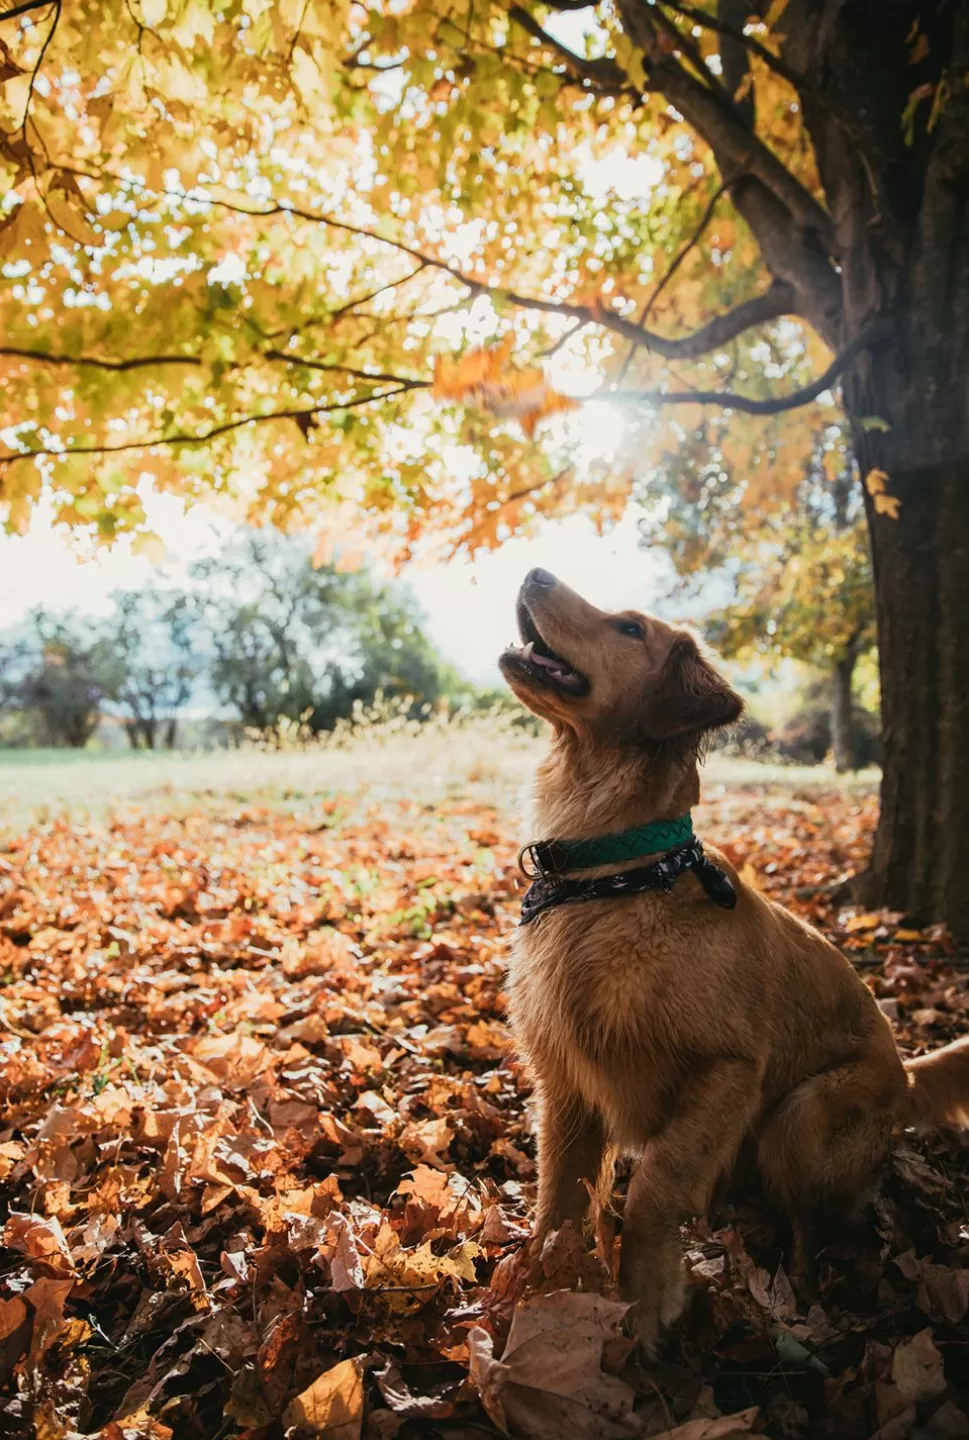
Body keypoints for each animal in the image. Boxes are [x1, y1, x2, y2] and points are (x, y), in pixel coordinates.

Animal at [503, 570, 961, 1347]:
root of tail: (906, 1074)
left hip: (802, 1116)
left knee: (816, 1227)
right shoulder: (562, 1081)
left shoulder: (727, 1070)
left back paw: (803, 1294)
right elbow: (557, 1196)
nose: (532, 571)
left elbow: (656, 1184)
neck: (615, 872)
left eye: (630, 628)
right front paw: (542, 1291)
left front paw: (649, 1298)